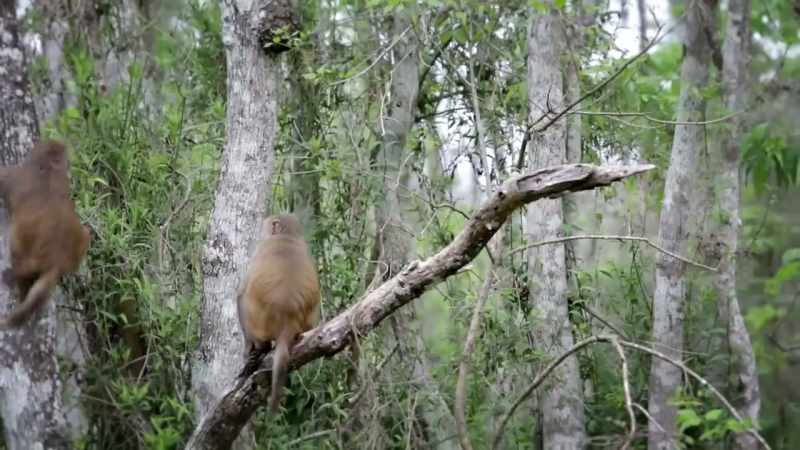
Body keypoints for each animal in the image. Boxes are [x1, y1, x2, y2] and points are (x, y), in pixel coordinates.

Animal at [0, 140, 91, 329]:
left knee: (23, 269)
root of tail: (57, 260)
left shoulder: (15, 175)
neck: (50, 171)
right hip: (82, 240)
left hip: (22, 242)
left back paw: (13, 278)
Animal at [237, 213, 321, 414]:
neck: (287, 237)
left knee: (245, 302)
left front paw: (248, 351)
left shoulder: (261, 249)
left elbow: (240, 293)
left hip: (260, 322)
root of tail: (288, 319)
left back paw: (261, 349)